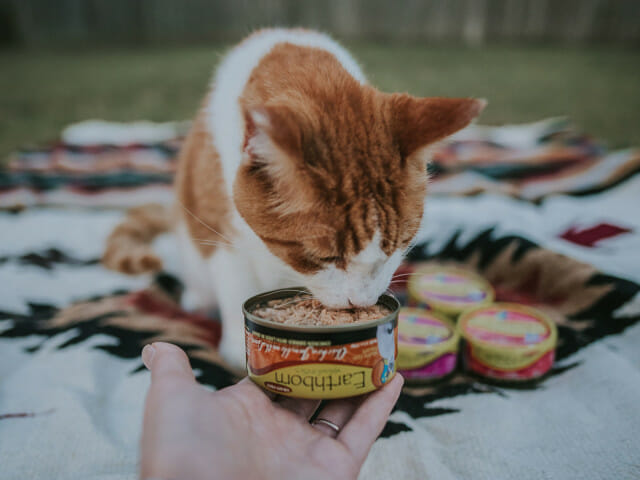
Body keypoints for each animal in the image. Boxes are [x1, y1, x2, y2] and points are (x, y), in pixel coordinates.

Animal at [104, 28, 484, 370]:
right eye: (324, 257)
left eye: (398, 245)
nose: (358, 304)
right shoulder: (219, 233)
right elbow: (235, 287)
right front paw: (239, 354)